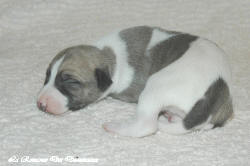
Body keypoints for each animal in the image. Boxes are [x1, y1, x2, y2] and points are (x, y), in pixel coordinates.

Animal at [37, 26, 234, 137]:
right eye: (47, 76)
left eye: (70, 81)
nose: (41, 104)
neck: (110, 56)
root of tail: (217, 87)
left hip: (156, 85)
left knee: (147, 126)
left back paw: (115, 128)